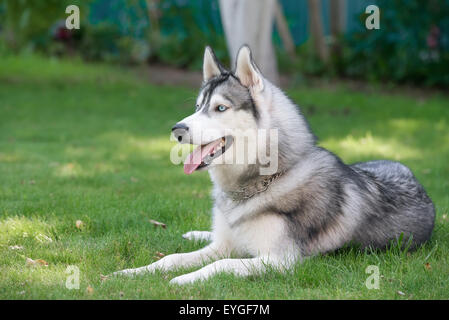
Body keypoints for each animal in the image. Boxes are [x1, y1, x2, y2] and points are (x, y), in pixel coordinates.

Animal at [114, 45, 436, 284]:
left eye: (220, 108)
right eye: (197, 107)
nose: (176, 130)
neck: (261, 182)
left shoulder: (280, 261)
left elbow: (222, 265)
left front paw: (184, 279)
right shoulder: (222, 245)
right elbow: (172, 258)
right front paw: (132, 272)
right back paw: (194, 233)